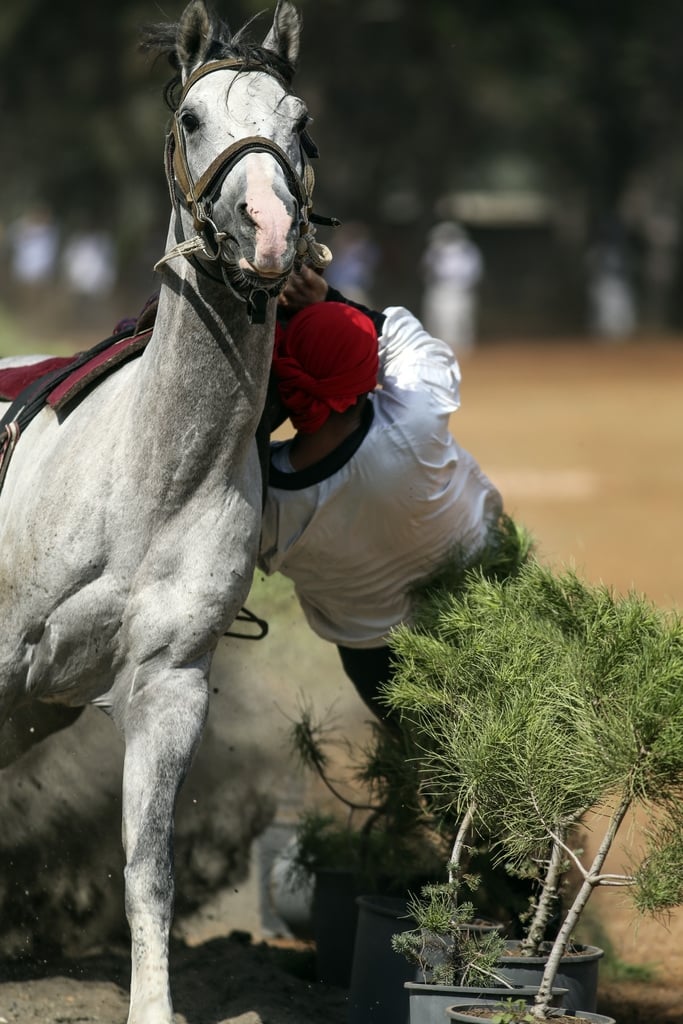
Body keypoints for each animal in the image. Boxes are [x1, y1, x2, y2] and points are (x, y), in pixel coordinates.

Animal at [0, 4, 325, 1019]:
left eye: (300, 123)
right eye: (190, 117)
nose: (268, 230)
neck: (147, 481)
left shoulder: (169, 687)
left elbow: (149, 870)